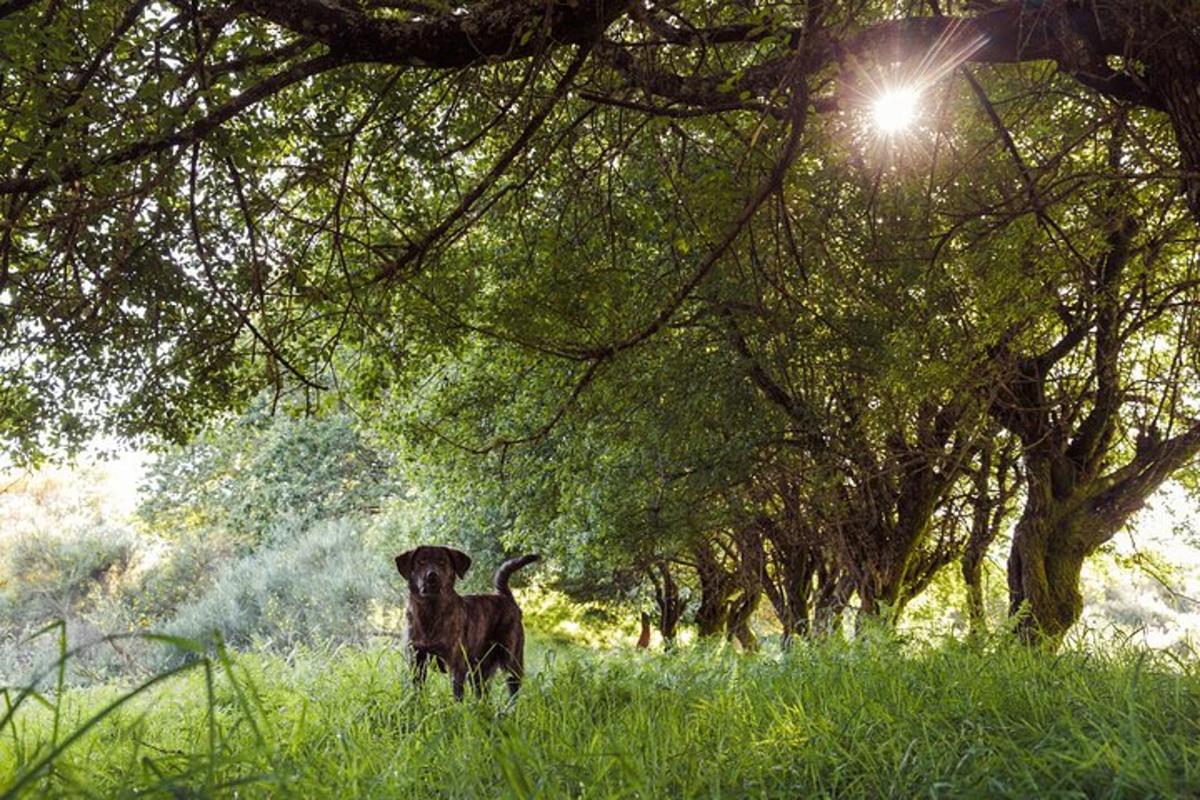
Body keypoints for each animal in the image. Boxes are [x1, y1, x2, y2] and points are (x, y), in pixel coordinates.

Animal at [393, 544, 540, 700]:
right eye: (421, 561)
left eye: (443, 562)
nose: (432, 575)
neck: (430, 612)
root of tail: (505, 597)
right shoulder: (416, 661)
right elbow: (418, 690)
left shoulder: (456, 664)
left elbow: (457, 694)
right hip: (479, 669)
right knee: (482, 693)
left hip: (511, 659)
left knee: (513, 689)